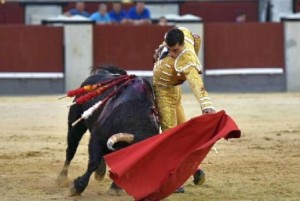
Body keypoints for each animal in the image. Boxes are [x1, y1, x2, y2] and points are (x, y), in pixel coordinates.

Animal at [55, 66, 159, 196]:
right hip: (75, 124)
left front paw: (115, 188)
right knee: (70, 151)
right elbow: (93, 163)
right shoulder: (97, 138)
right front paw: (77, 187)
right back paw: (61, 178)